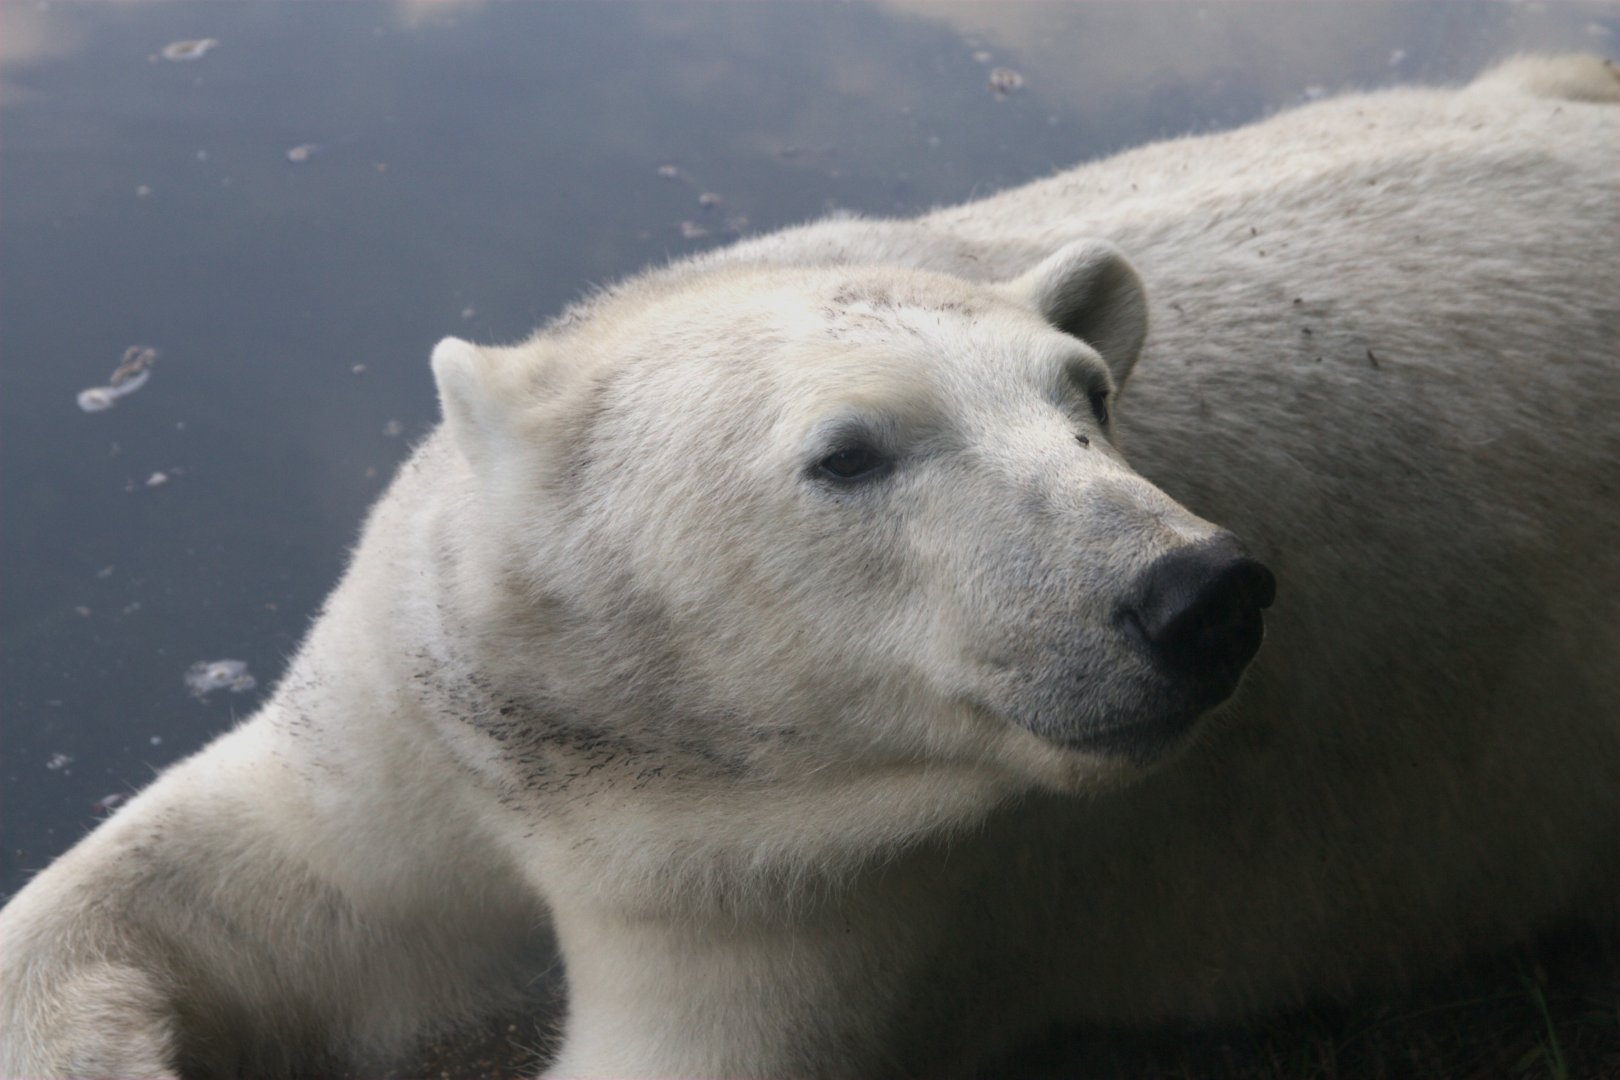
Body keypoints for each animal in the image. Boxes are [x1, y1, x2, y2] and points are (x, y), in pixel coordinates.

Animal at [1, 54, 1616, 1080]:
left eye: (1088, 399)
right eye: (851, 453)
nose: (1197, 595)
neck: (639, 759)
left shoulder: (841, 889)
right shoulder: (434, 703)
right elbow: (261, 873)